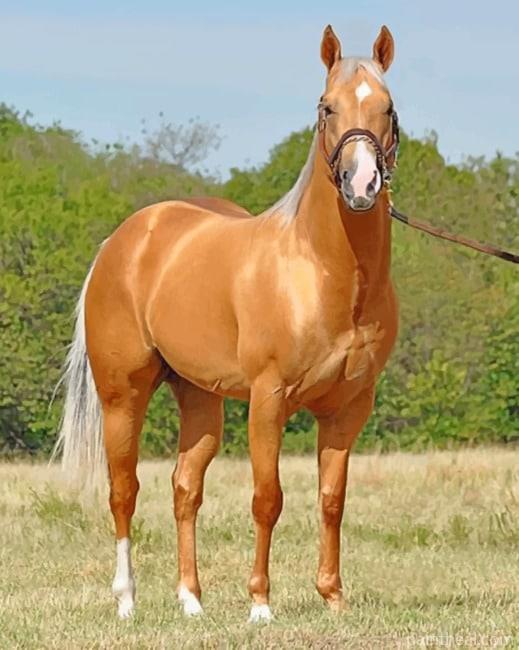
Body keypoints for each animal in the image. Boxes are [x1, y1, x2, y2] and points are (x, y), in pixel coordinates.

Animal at [55, 24, 400, 622]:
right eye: (326, 106)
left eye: (387, 106)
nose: (361, 185)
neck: (324, 272)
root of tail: (125, 240)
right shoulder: (269, 398)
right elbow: (268, 498)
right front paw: (260, 603)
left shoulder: (348, 408)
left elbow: (331, 500)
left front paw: (333, 596)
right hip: (122, 396)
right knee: (123, 491)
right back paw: (127, 600)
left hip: (199, 399)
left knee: (184, 487)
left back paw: (191, 600)